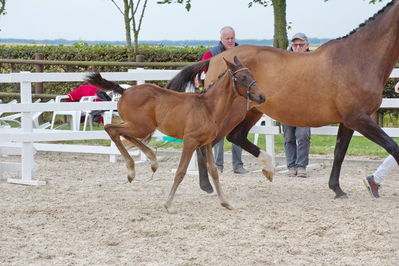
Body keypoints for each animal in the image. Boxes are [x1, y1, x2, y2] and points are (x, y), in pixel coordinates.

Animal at [85, 57, 266, 213]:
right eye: (242, 78)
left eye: (252, 75)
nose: (262, 96)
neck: (208, 107)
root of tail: (124, 91)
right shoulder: (190, 142)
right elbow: (180, 172)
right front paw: (168, 204)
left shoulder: (206, 143)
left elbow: (214, 171)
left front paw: (226, 202)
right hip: (141, 127)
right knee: (111, 129)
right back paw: (132, 170)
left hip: (139, 126)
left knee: (121, 133)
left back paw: (151, 161)